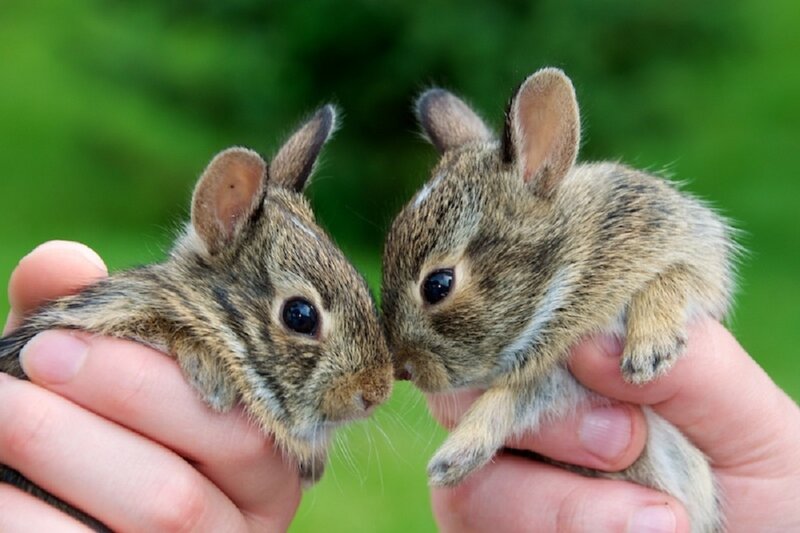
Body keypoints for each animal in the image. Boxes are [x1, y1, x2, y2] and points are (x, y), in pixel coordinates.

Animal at [381, 68, 738, 532]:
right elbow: (509, 399)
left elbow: (672, 278)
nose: (404, 369)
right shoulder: (549, 379)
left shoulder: (689, 246)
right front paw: (453, 460)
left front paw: (650, 353)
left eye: (438, 285)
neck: (569, 272)